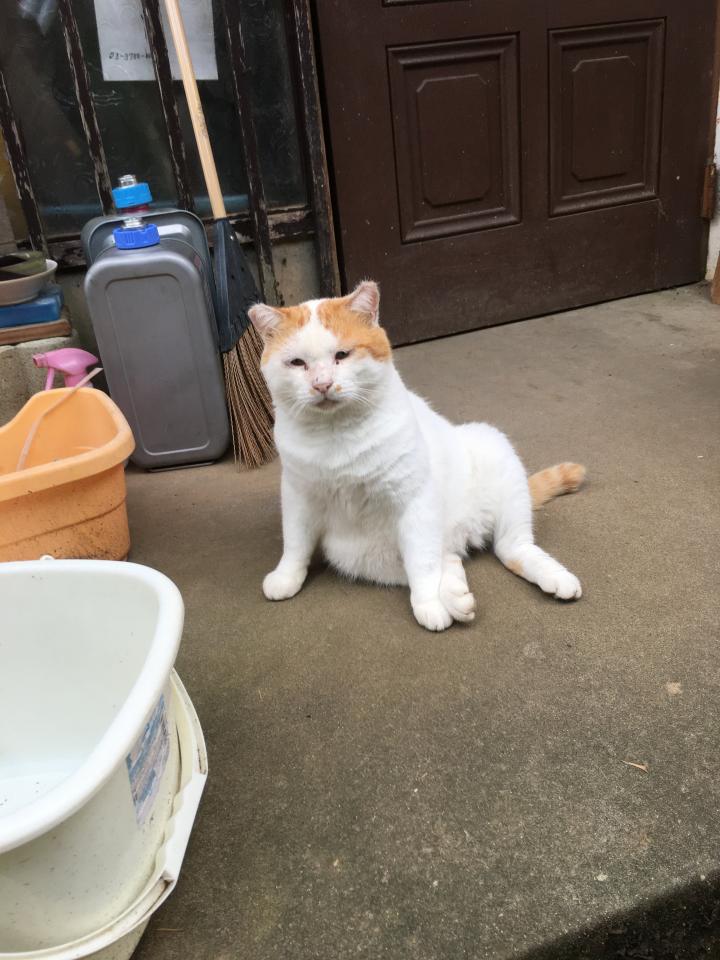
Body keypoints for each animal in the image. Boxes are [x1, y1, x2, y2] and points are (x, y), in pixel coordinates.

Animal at [248, 281, 585, 632]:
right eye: (297, 363)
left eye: (342, 355)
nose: (322, 384)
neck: (336, 435)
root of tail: (466, 534)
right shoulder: (298, 496)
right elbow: (295, 543)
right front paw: (286, 576)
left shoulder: (414, 500)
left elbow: (422, 566)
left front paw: (428, 605)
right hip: (358, 555)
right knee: (444, 558)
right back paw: (456, 594)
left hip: (495, 452)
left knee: (509, 548)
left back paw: (555, 579)